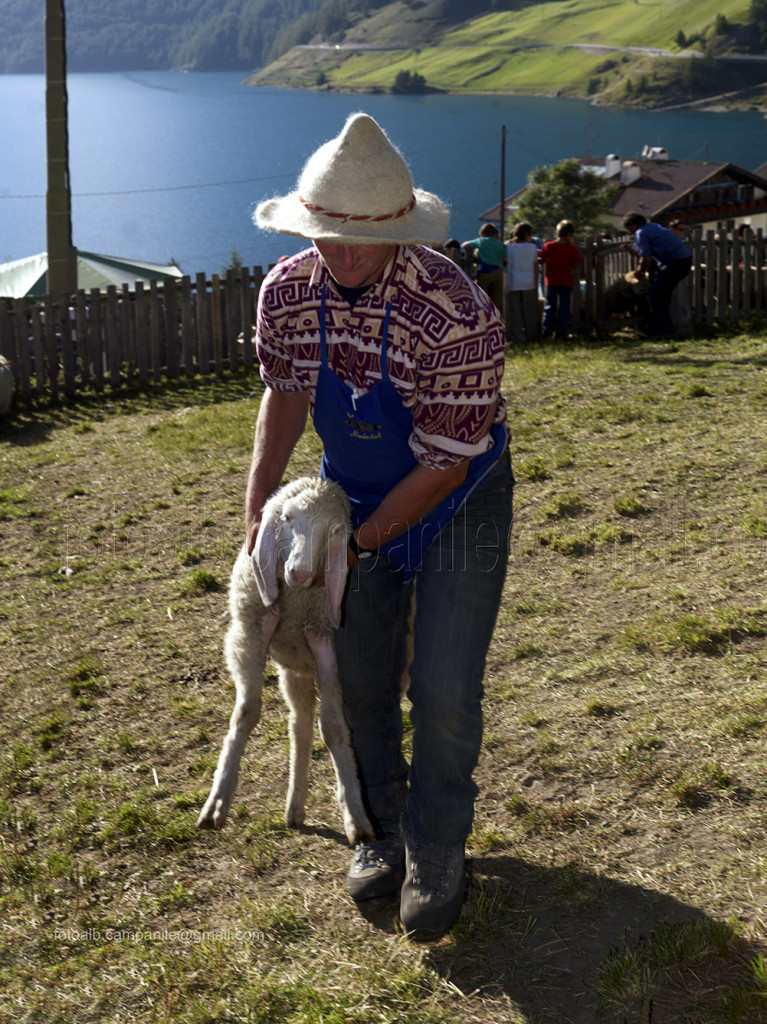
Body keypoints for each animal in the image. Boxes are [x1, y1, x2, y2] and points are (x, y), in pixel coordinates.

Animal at [197, 475, 374, 843]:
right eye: (288, 518)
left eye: (335, 530)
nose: (300, 572)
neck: (296, 603)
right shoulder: (248, 636)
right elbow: (246, 714)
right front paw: (218, 800)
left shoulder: (329, 648)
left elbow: (334, 729)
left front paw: (355, 813)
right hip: (296, 670)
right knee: (299, 725)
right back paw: (295, 807)